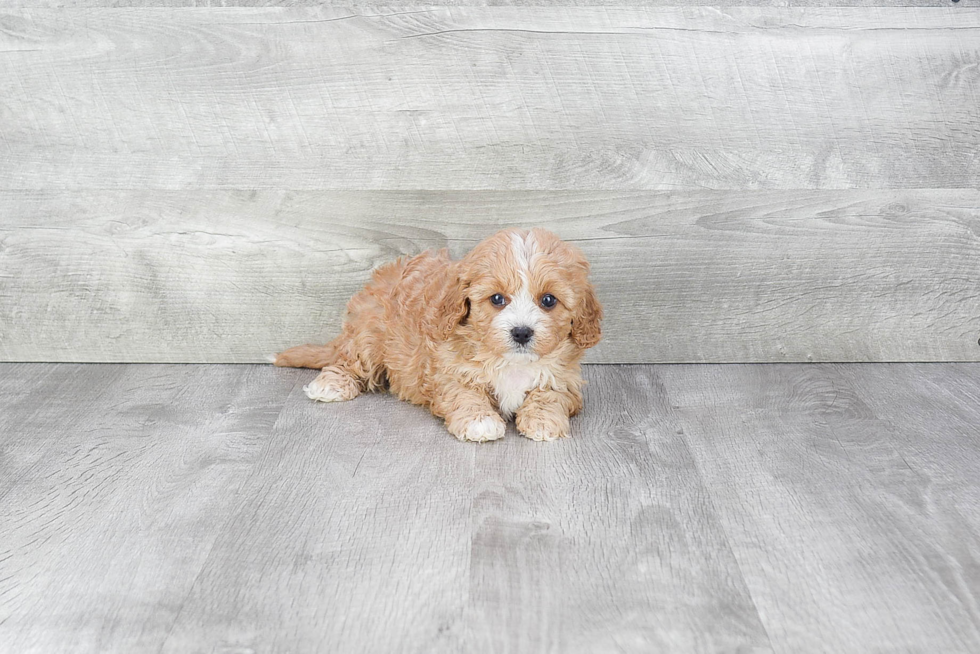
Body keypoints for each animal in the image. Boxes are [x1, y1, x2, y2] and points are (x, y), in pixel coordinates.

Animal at [272, 228, 600, 444]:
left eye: (548, 300)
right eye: (497, 299)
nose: (521, 332)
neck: (512, 362)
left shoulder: (564, 378)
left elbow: (550, 395)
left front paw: (543, 421)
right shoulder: (449, 373)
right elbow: (465, 394)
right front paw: (480, 422)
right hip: (369, 335)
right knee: (348, 360)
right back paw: (331, 385)